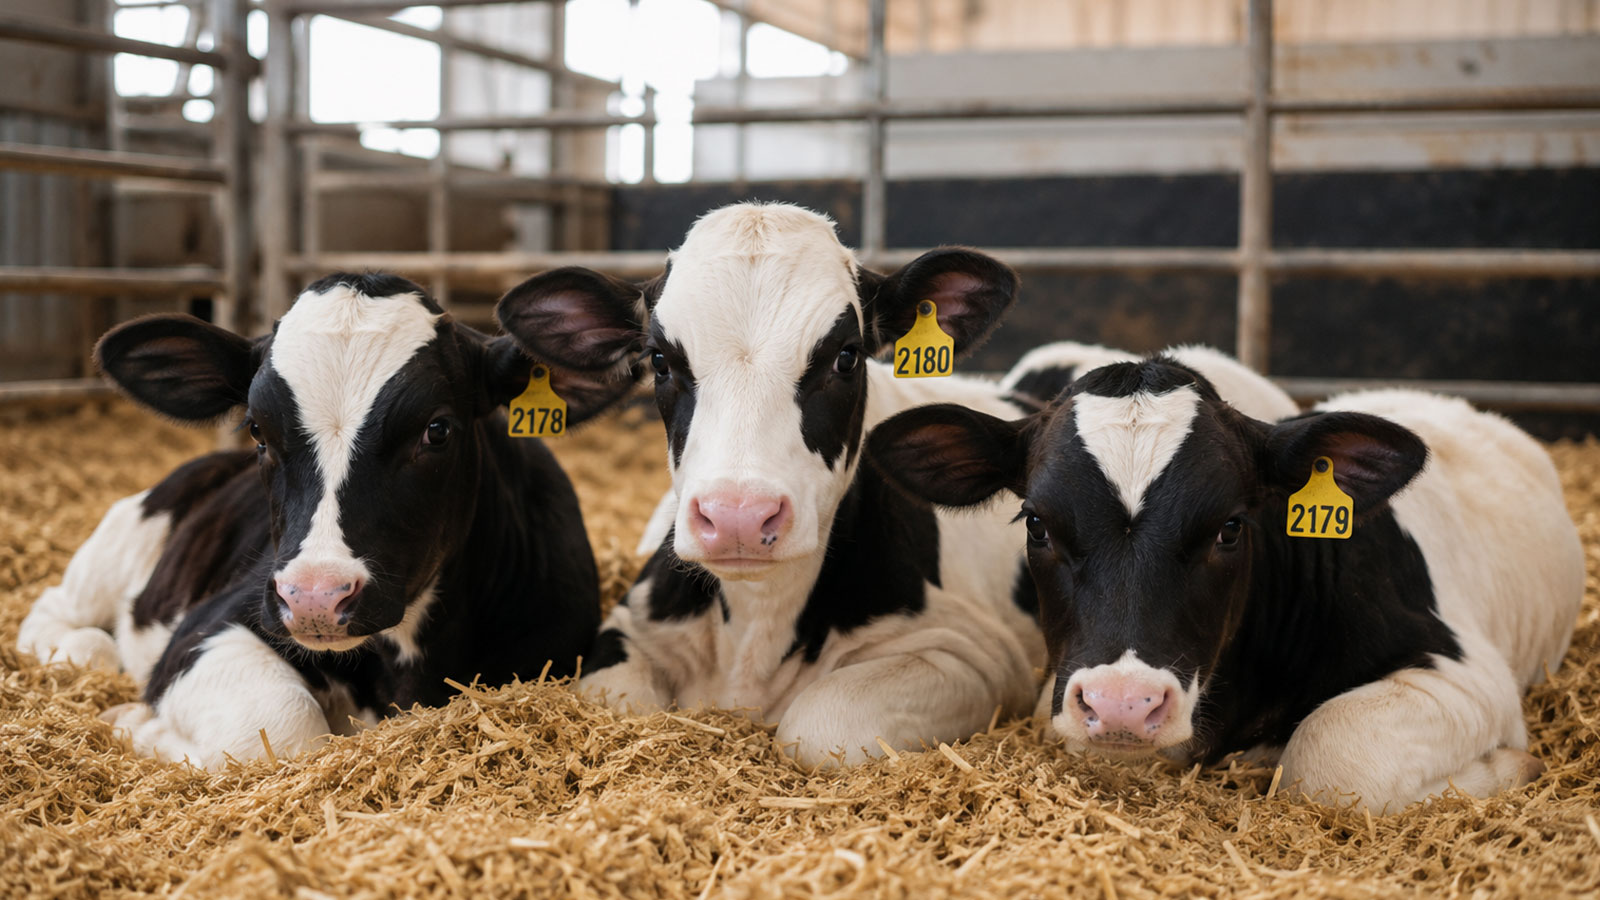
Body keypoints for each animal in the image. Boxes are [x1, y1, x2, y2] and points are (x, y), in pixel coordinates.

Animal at [17, 273, 634, 769]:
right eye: (257, 429)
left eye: (436, 429)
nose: (314, 597)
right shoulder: (211, 624)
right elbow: (285, 726)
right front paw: (137, 725)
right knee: (59, 617)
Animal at [867, 356, 1584, 810]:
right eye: (1037, 524)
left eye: (1231, 527)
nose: (1123, 704)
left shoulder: (1468, 673)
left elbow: (1331, 753)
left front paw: (1507, 768)